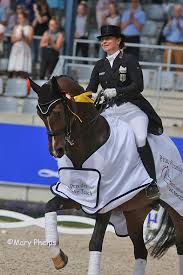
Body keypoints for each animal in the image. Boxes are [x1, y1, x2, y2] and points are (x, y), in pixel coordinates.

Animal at [29, 76, 183, 275]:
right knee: (140, 251)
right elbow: (49, 207)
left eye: (57, 111)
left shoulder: (106, 202)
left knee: (180, 245)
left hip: (176, 206)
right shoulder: (77, 196)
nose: (56, 151)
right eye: (40, 115)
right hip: (134, 212)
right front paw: (59, 258)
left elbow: (95, 243)